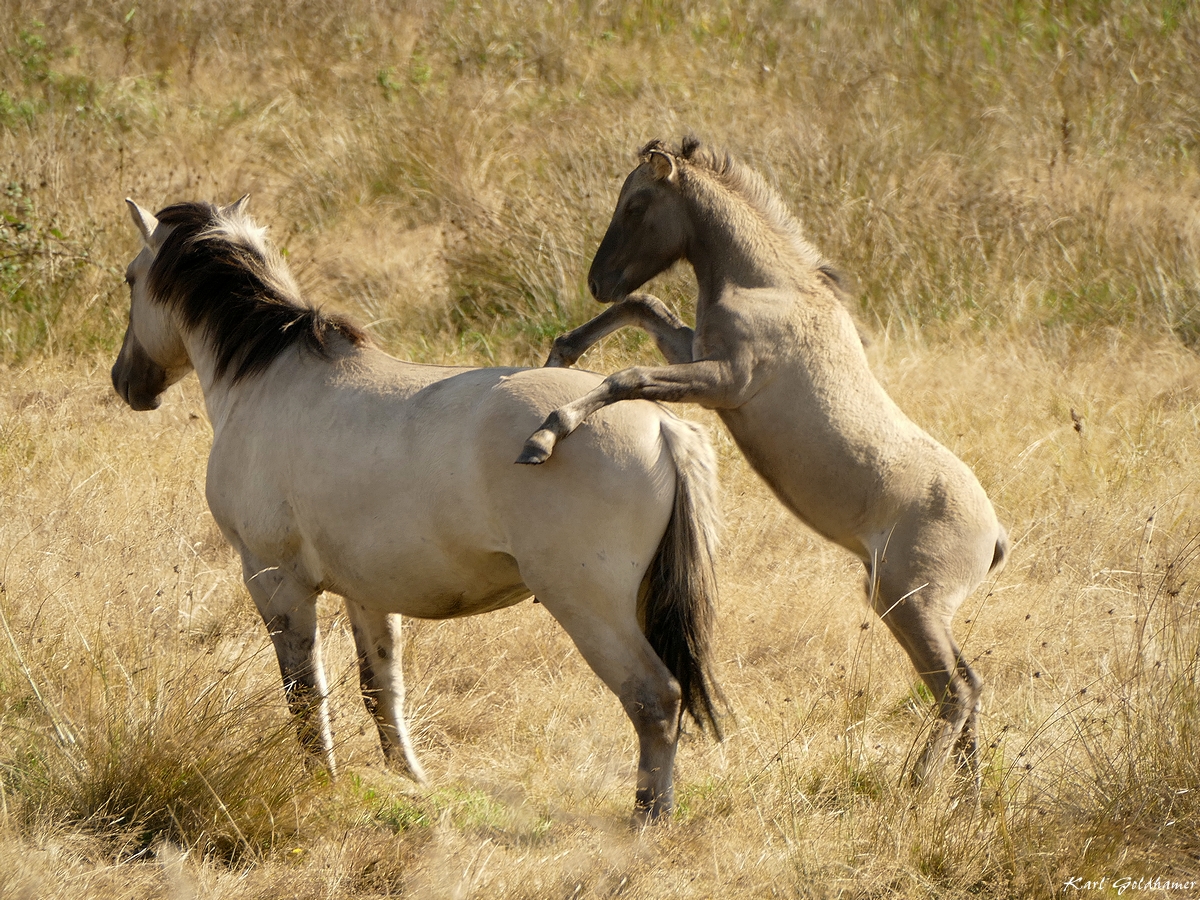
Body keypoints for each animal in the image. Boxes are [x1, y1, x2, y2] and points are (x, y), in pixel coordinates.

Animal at [112, 196, 720, 825]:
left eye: (130, 279)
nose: (126, 382)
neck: (269, 379)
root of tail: (661, 424)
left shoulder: (275, 581)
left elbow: (304, 692)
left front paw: (322, 783)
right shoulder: (366, 590)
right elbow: (380, 686)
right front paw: (410, 780)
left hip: (588, 604)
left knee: (655, 699)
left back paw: (648, 818)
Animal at [520, 141, 1008, 787]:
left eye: (637, 203)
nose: (598, 280)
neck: (769, 286)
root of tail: (994, 533)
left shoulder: (723, 382)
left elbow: (628, 376)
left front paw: (546, 433)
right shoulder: (696, 353)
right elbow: (646, 306)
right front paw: (560, 354)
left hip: (910, 605)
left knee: (957, 692)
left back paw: (918, 784)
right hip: (904, 608)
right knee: (967, 689)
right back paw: (964, 796)